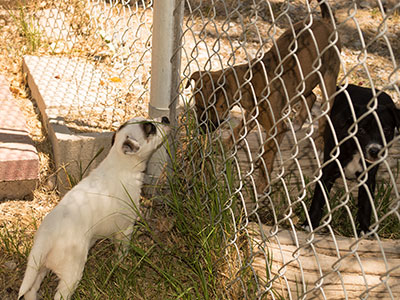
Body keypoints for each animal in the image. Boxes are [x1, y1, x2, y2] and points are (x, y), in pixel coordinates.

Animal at [19, 116, 169, 300]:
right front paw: (121, 263)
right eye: (151, 129)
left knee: (31, 289)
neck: (120, 163)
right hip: (71, 274)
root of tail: (46, 236)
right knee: (60, 294)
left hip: (40, 267)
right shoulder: (125, 227)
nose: (165, 118)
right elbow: (122, 250)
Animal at [188, 0, 340, 192]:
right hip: (303, 81)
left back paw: (319, 144)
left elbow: (267, 154)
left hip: (328, 77)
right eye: (197, 106)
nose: (201, 130)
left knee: (326, 112)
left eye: (207, 108)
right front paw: (228, 144)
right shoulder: (253, 113)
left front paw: (262, 182)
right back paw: (298, 122)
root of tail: (326, 21)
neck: (248, 83)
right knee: (311, 97)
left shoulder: (276, 128)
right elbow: (240, 129)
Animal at [304, 84, 400, 234]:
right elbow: (319, 197)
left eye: (386, 131)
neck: (356, 150)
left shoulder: (368, 178)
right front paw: (310, 223)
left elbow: (366, 203)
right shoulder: (328, 170)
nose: (375, 151)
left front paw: (364, 228)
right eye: (361, 131)